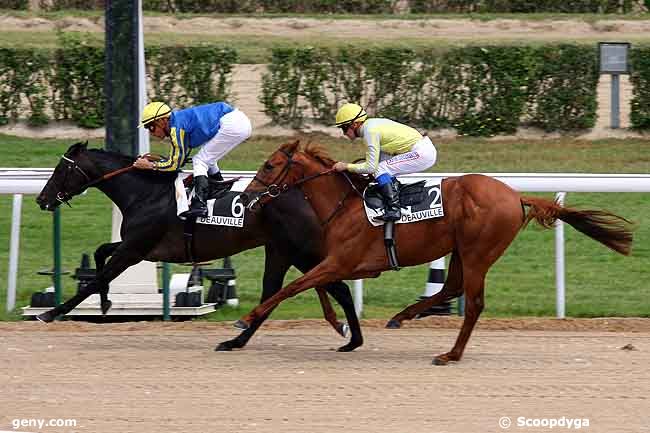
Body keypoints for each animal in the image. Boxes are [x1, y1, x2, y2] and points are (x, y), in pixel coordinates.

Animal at [239, 141, 632, 364]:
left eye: (270, 165)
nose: (247, 196)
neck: (345, 205)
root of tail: (515, 195)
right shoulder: (338, 263)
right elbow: (313, 285)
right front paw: (340, 327)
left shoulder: (343, 261)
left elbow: (295, 286)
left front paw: (247, 318)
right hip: (461, 250)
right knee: (451, 288)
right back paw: (403, 316)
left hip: (478, 253)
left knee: (473, 304)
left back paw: (450, 354)